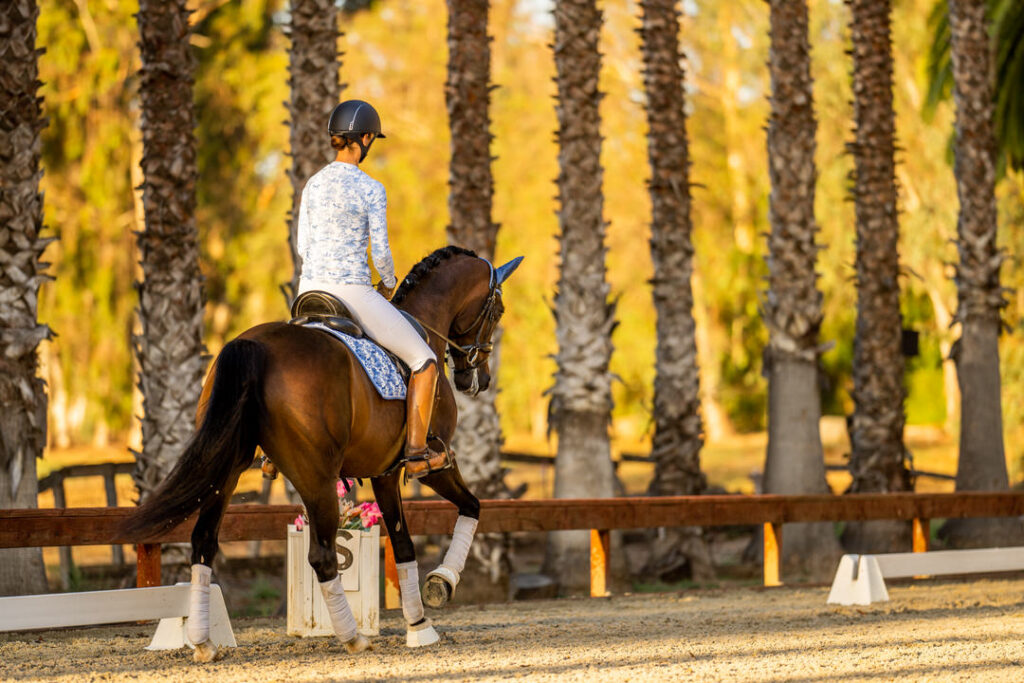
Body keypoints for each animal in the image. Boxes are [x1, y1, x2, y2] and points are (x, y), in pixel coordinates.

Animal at [121, 246, 520, 663]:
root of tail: (256, 345)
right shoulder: (429, 466)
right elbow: (470, 508)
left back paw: (203, 642)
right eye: (498, 311)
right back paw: (353, 637)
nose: (478, 380)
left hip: (226, 472)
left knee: (203, 542)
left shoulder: (382, 473)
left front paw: (418, 623)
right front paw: (440, 587)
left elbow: (403, 543)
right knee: (323, 555)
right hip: (317, 479)